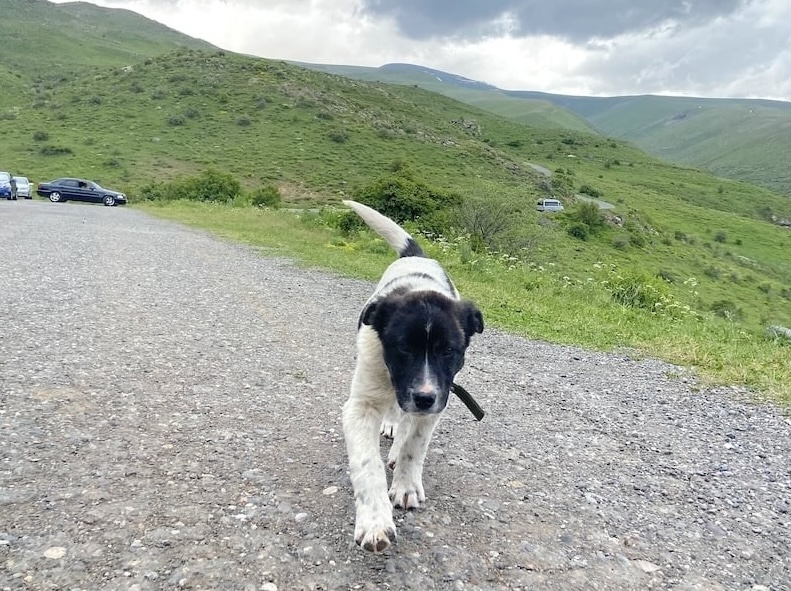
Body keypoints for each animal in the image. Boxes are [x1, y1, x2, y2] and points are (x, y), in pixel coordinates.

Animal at [340, 201, 482, 552]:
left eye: (449, 351)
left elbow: (413, 446)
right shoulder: (361, 405)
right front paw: (374, 522)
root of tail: (417, 256)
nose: (424, 397)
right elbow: (367, 464)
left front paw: (405, 485)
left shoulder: (438, 398)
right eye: (403, 348)